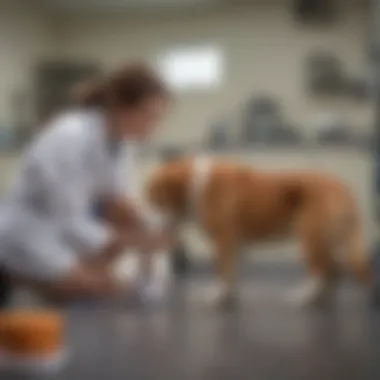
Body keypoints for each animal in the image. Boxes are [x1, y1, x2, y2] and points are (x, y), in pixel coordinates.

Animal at [144, 156, 370, 308]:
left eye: (153, 198)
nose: (142, 220)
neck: (196, 186)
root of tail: (345, 189)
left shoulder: (223, 241)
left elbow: (223, 272)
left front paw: (219, 296)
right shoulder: (235, 245)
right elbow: (233, 273)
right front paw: (231, 295)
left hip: (310, 238)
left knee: (321, 271)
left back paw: (305, 296)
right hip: (326, 241)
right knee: (334, 270)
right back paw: (325, 298)